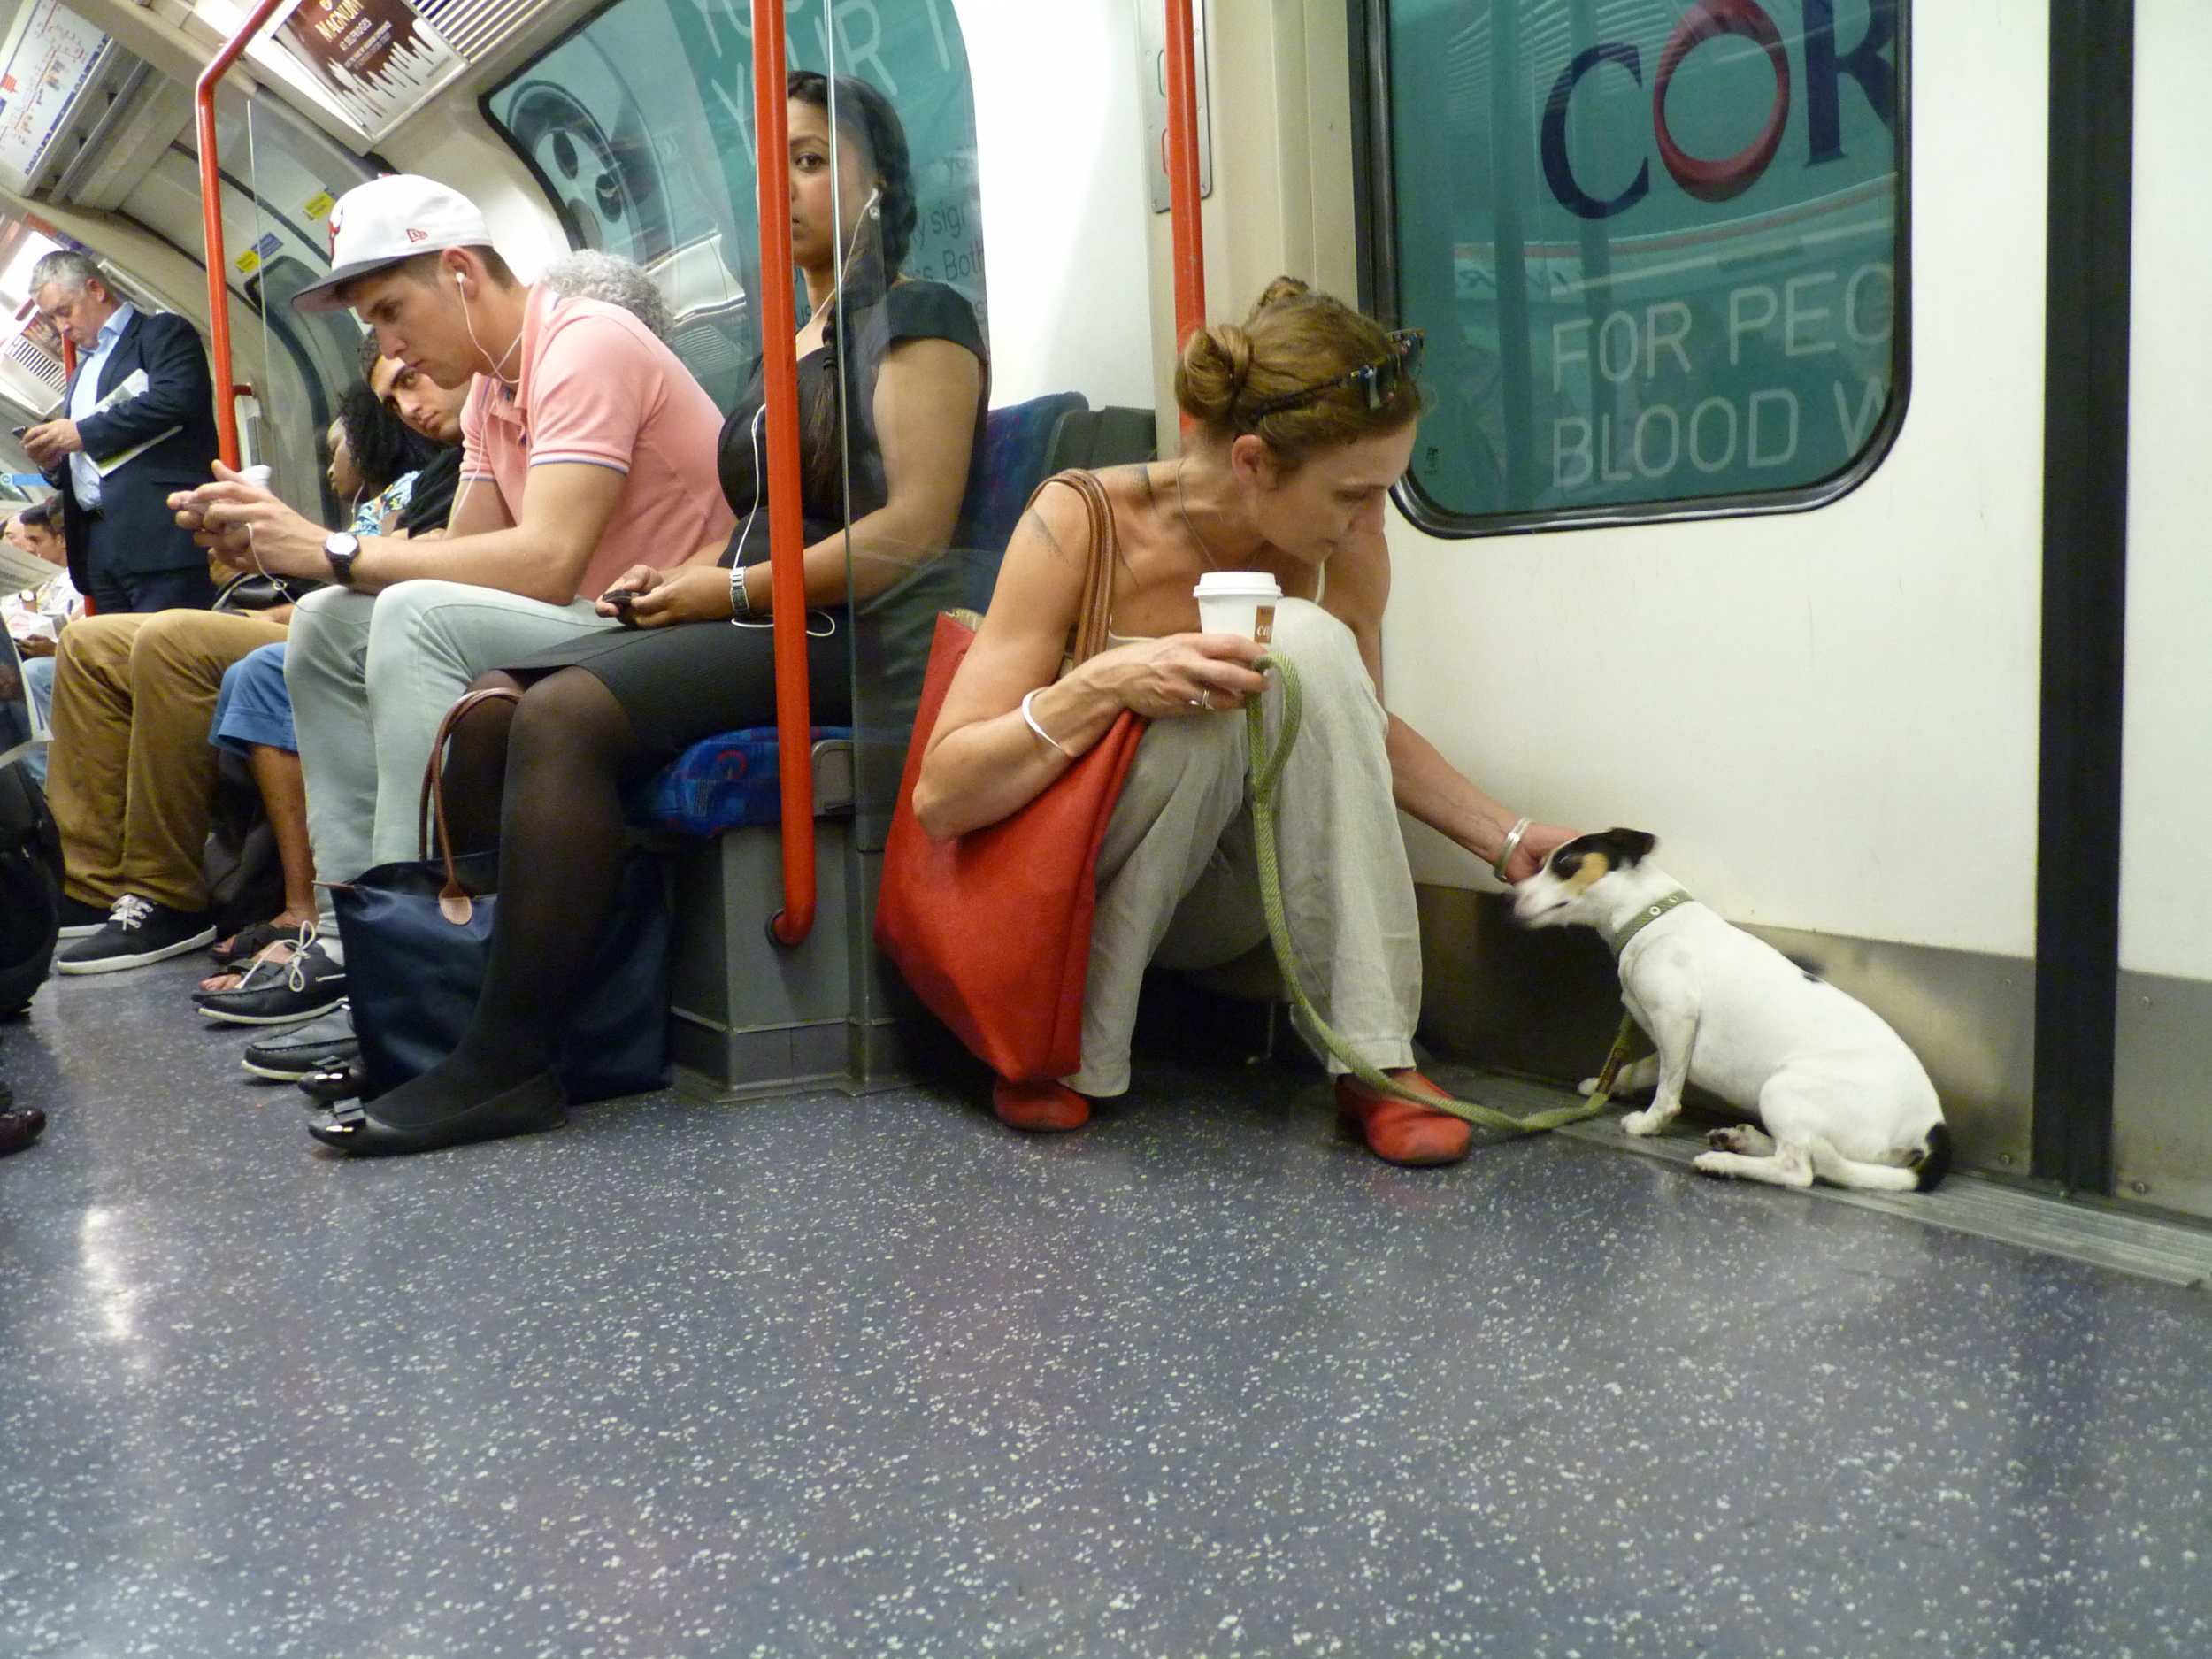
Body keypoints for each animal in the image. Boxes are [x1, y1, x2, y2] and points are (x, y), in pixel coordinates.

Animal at [1513, 832, 1947, 1194]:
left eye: (1564, 863)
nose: (1510, 898)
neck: (1650, 918)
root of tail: (1931, 1127)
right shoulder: (1674, 1039)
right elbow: (1646, 1070)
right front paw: (1604, 1086)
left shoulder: (1676, 1016)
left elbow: (1666, 1092)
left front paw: (1648, 1124)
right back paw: (1742, 1140)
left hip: (1783, 1089)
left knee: (1799, 1169)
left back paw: (1723, 1163)